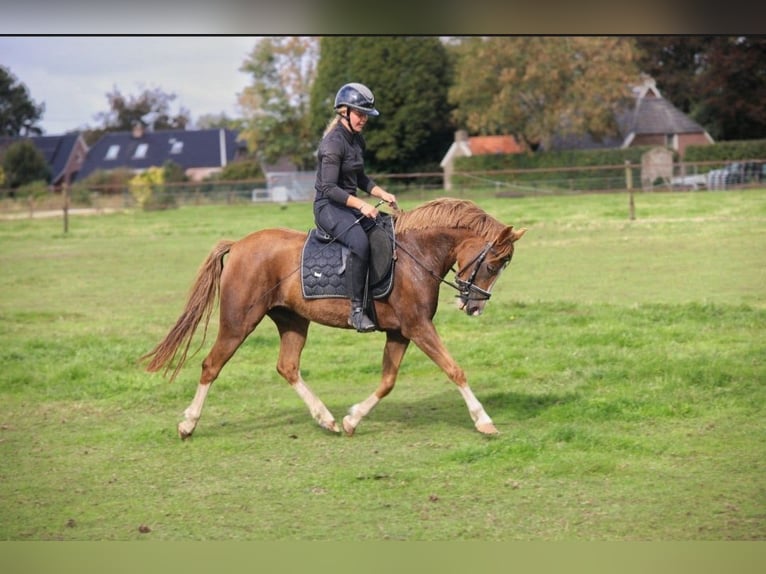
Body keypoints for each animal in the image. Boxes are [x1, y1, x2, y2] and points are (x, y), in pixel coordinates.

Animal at [141, 197, 526, 439]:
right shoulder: (418, 327)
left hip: (293, 320)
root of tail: (238, 245)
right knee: (211, 366)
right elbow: (454, 369)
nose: (475, 307)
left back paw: (326, 419)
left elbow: (387, 381)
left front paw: (352, 419)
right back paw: (188, 425)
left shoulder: (401, 332)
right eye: (493, 264)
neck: (415, 255)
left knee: (288, 367)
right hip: (238, 323)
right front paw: (484, 422)